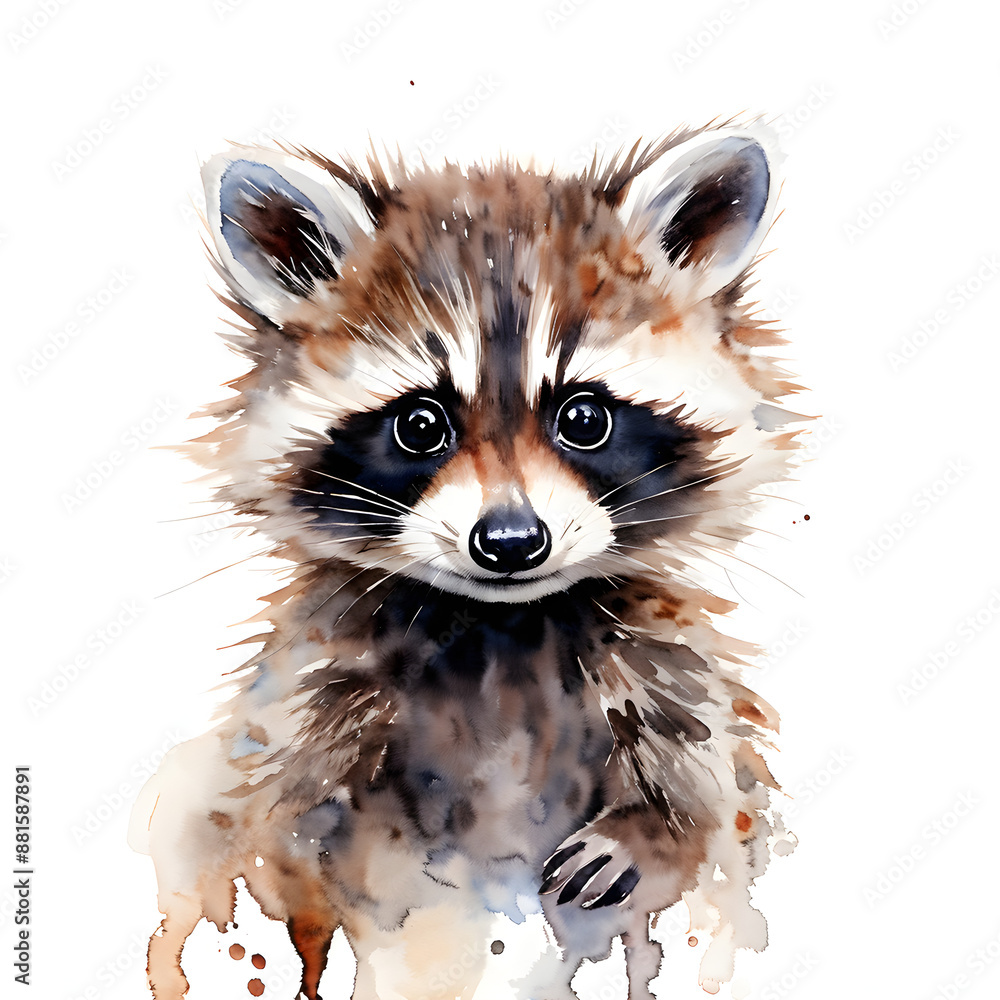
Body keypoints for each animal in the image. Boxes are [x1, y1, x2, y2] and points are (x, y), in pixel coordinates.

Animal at [129, 123, 803, 1000]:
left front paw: (654, 832)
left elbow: (719, 809)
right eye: (421, 424)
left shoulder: (660, 661)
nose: (511, 542)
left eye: (584, 418)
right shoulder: (312, 706)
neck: (500, 629)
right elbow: (271, 825)